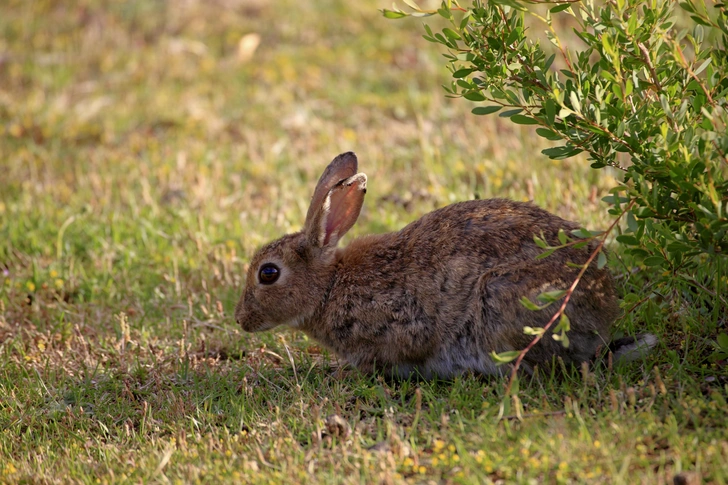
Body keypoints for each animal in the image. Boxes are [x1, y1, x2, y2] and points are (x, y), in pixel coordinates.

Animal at [235, 151, 656, 378]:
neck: (329, 286)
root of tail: (601, 314)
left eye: (268, 273)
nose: (240, 320)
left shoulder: (400, 324)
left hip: (504, 308)